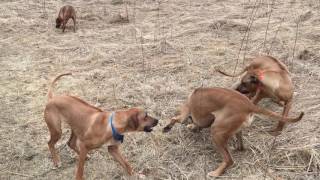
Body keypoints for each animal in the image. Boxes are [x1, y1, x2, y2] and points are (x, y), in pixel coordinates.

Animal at [162, 87, 302, 177]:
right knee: (240, 146)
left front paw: (167, 127)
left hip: (216, 132)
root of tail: (249, 105)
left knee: (229, 160)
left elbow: (175, 119)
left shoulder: (185, 113)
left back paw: (216, 173)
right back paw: (236, 148)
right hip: (234, 130)